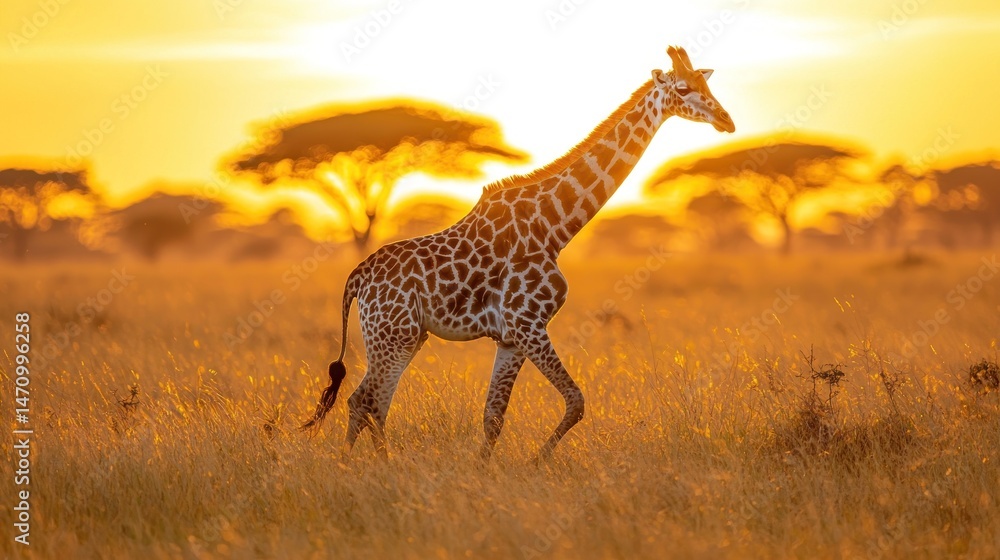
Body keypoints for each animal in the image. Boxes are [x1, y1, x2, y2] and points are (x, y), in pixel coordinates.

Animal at [301, 46, 735, 461]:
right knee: (365, 401)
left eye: (708, 85)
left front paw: (483, 472)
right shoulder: (528, 324)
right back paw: (368, 467)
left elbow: (494, 416)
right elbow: (576, 401)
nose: (726, 121)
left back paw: (369, 466)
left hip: (406, 336)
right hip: (392, 335)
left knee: (369, 402)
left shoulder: (509, 337)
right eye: (683, 89)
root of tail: (358, 277)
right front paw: (535, 462)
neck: (555, 227)